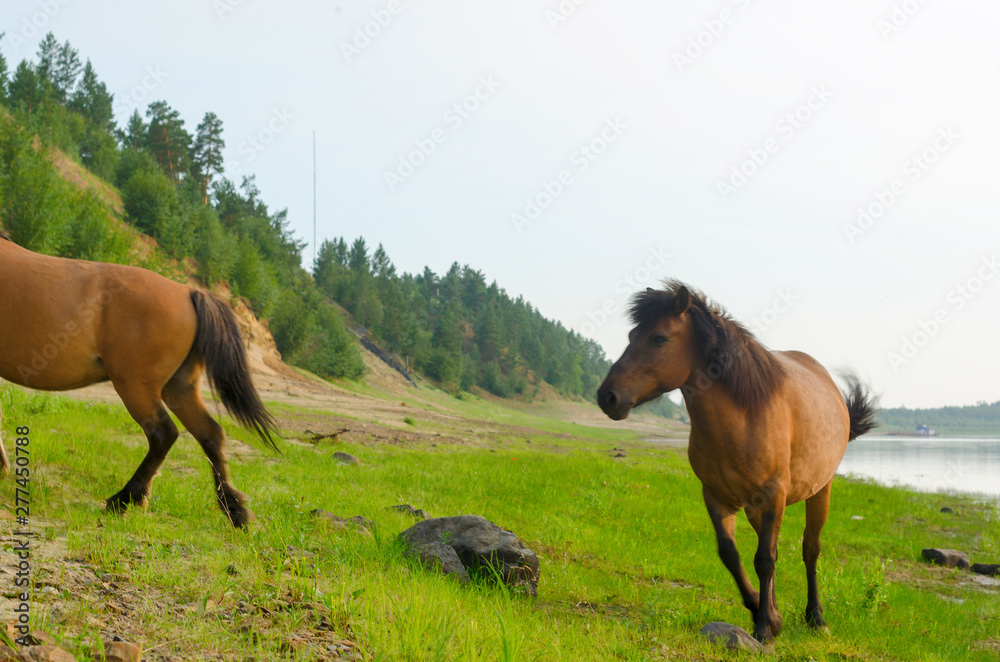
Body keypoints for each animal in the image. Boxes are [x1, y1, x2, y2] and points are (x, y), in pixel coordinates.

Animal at [0, 231, 278, 527]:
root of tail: (188, 292)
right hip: (179, 389)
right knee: (210, 434)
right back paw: (234, 509)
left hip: (135, 387)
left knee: (164, 434)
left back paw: (124, 498)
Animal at [597, 280, 877, 642]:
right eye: (632, 334)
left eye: (658, 338)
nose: (607, 396)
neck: (744, 418)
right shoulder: (717, 496)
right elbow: (732, 555)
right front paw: (765, 613)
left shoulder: (774, 495)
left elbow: (766, 559)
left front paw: (763, 626)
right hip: (757, 507)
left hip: (820, 491)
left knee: (810, 548)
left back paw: (816, 617)